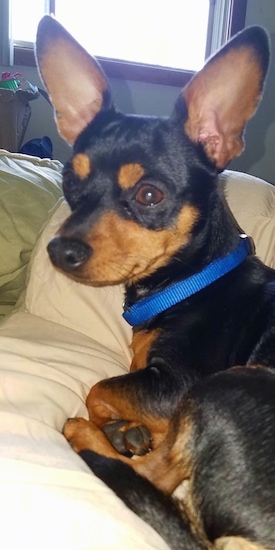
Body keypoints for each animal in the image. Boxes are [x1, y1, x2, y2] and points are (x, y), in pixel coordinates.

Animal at [35, 17, 275, 550]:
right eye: (70, 182)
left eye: (149, 195)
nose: (60, 251)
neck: (193, 278)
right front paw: (130, 428)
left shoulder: (177, 385)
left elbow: (99, 389)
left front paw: (115, 426)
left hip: (225, 386)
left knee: (148, 477)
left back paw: (89, 439)